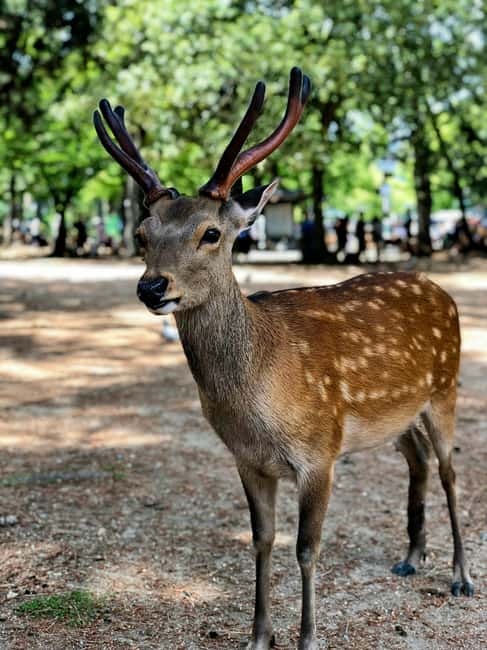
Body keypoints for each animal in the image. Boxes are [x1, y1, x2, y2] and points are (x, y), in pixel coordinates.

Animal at [94, 68, 474, 650]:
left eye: (211, 233)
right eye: (141, 234)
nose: (152, 287)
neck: (259, 399)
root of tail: (441, 291)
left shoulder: (320, 451)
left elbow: (306, 548)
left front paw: (309, 638)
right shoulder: (247, 459)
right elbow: (261, 540)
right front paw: (258, 637)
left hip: (445, 388)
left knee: (454, 471)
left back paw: (460, 576)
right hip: (398, 415)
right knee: (418, 460)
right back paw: (411, 556)